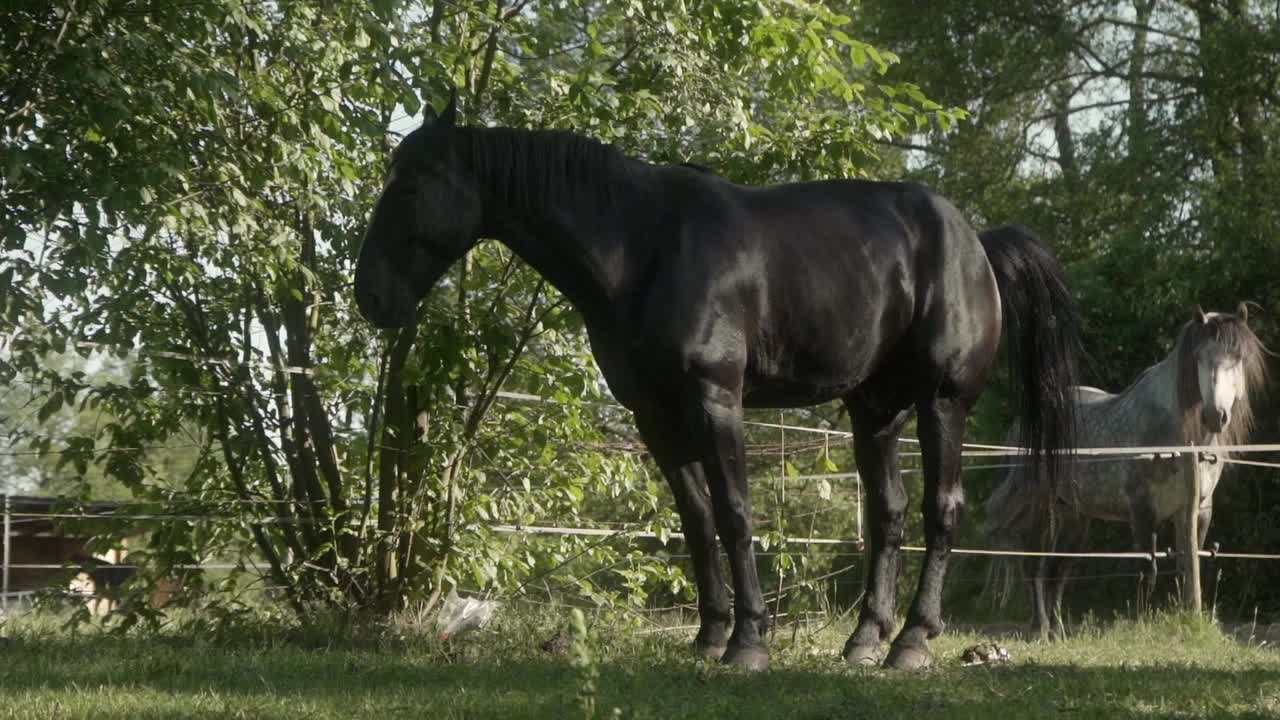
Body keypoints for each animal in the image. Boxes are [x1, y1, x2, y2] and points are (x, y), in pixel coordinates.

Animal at [353, 95, 1080, 666]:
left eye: (413, 185)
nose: (370, 297)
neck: (645, 247)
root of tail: (975, 241)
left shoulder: (715, 400)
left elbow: (734, 512)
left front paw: (749, 643)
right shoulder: (654, 414)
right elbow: (697, 520)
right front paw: (709, 636)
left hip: (942, 402)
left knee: (942, 508)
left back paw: (913, 643)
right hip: (875, 410)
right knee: (887, 513)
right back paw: (865, 640)